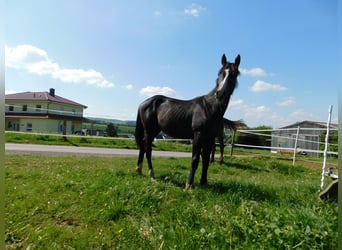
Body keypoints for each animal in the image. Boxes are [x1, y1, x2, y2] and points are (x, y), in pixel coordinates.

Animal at [134, 54, 240, 188]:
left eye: (234, 74)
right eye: (220, 73)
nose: (220, 93)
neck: (209, 108)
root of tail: (143, 103)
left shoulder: (209, 138)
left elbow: (206, 160)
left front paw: (204, 182)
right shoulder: (198, 135)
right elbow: (195, 159)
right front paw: (188, 185)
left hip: (153, 130)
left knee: (143, 146)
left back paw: (139, 170)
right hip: (149, 130)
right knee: (148, 149)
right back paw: (152, 176)